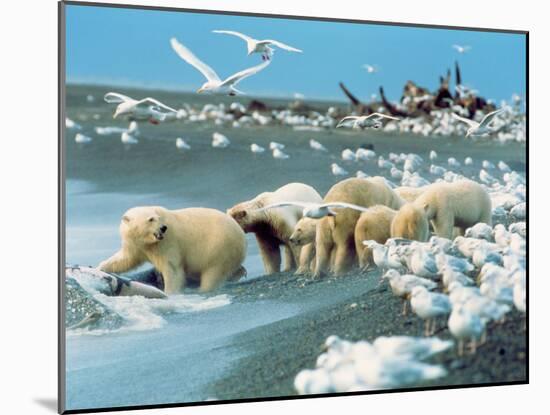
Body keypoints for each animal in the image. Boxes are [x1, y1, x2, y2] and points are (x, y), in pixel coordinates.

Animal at [98, 206, 247, 294]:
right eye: (151, 219)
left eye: (158, 218)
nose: (163, 228)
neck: (148, 242)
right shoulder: (136, 244)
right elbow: (126, 259)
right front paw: (101, 267)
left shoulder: (167, 242)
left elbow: (172, 268)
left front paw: (170, 292)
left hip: (219, 248)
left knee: (212, 274)